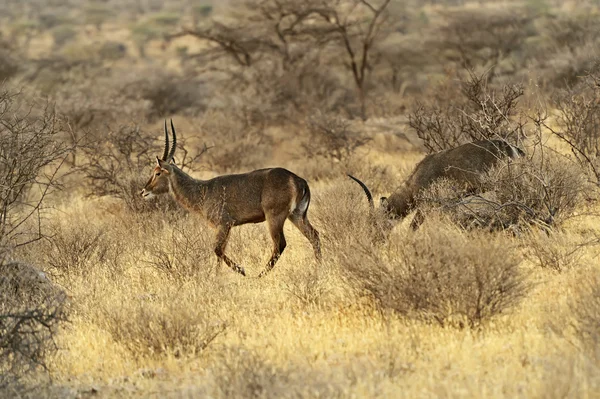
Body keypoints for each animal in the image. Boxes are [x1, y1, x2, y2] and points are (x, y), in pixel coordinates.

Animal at [140, 119, 322, 278]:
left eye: (157, 172)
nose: (143, 191)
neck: (201, 190)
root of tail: (299, 180)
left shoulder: (224, 224)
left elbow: (217, 250)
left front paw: (241, 270)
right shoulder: (225, 228)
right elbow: (220, 253)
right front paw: (217, 277)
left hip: (275, 217)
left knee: (280, 244)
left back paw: (259, 275)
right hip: (297, 215)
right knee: (314, 236)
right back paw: (318, 268)